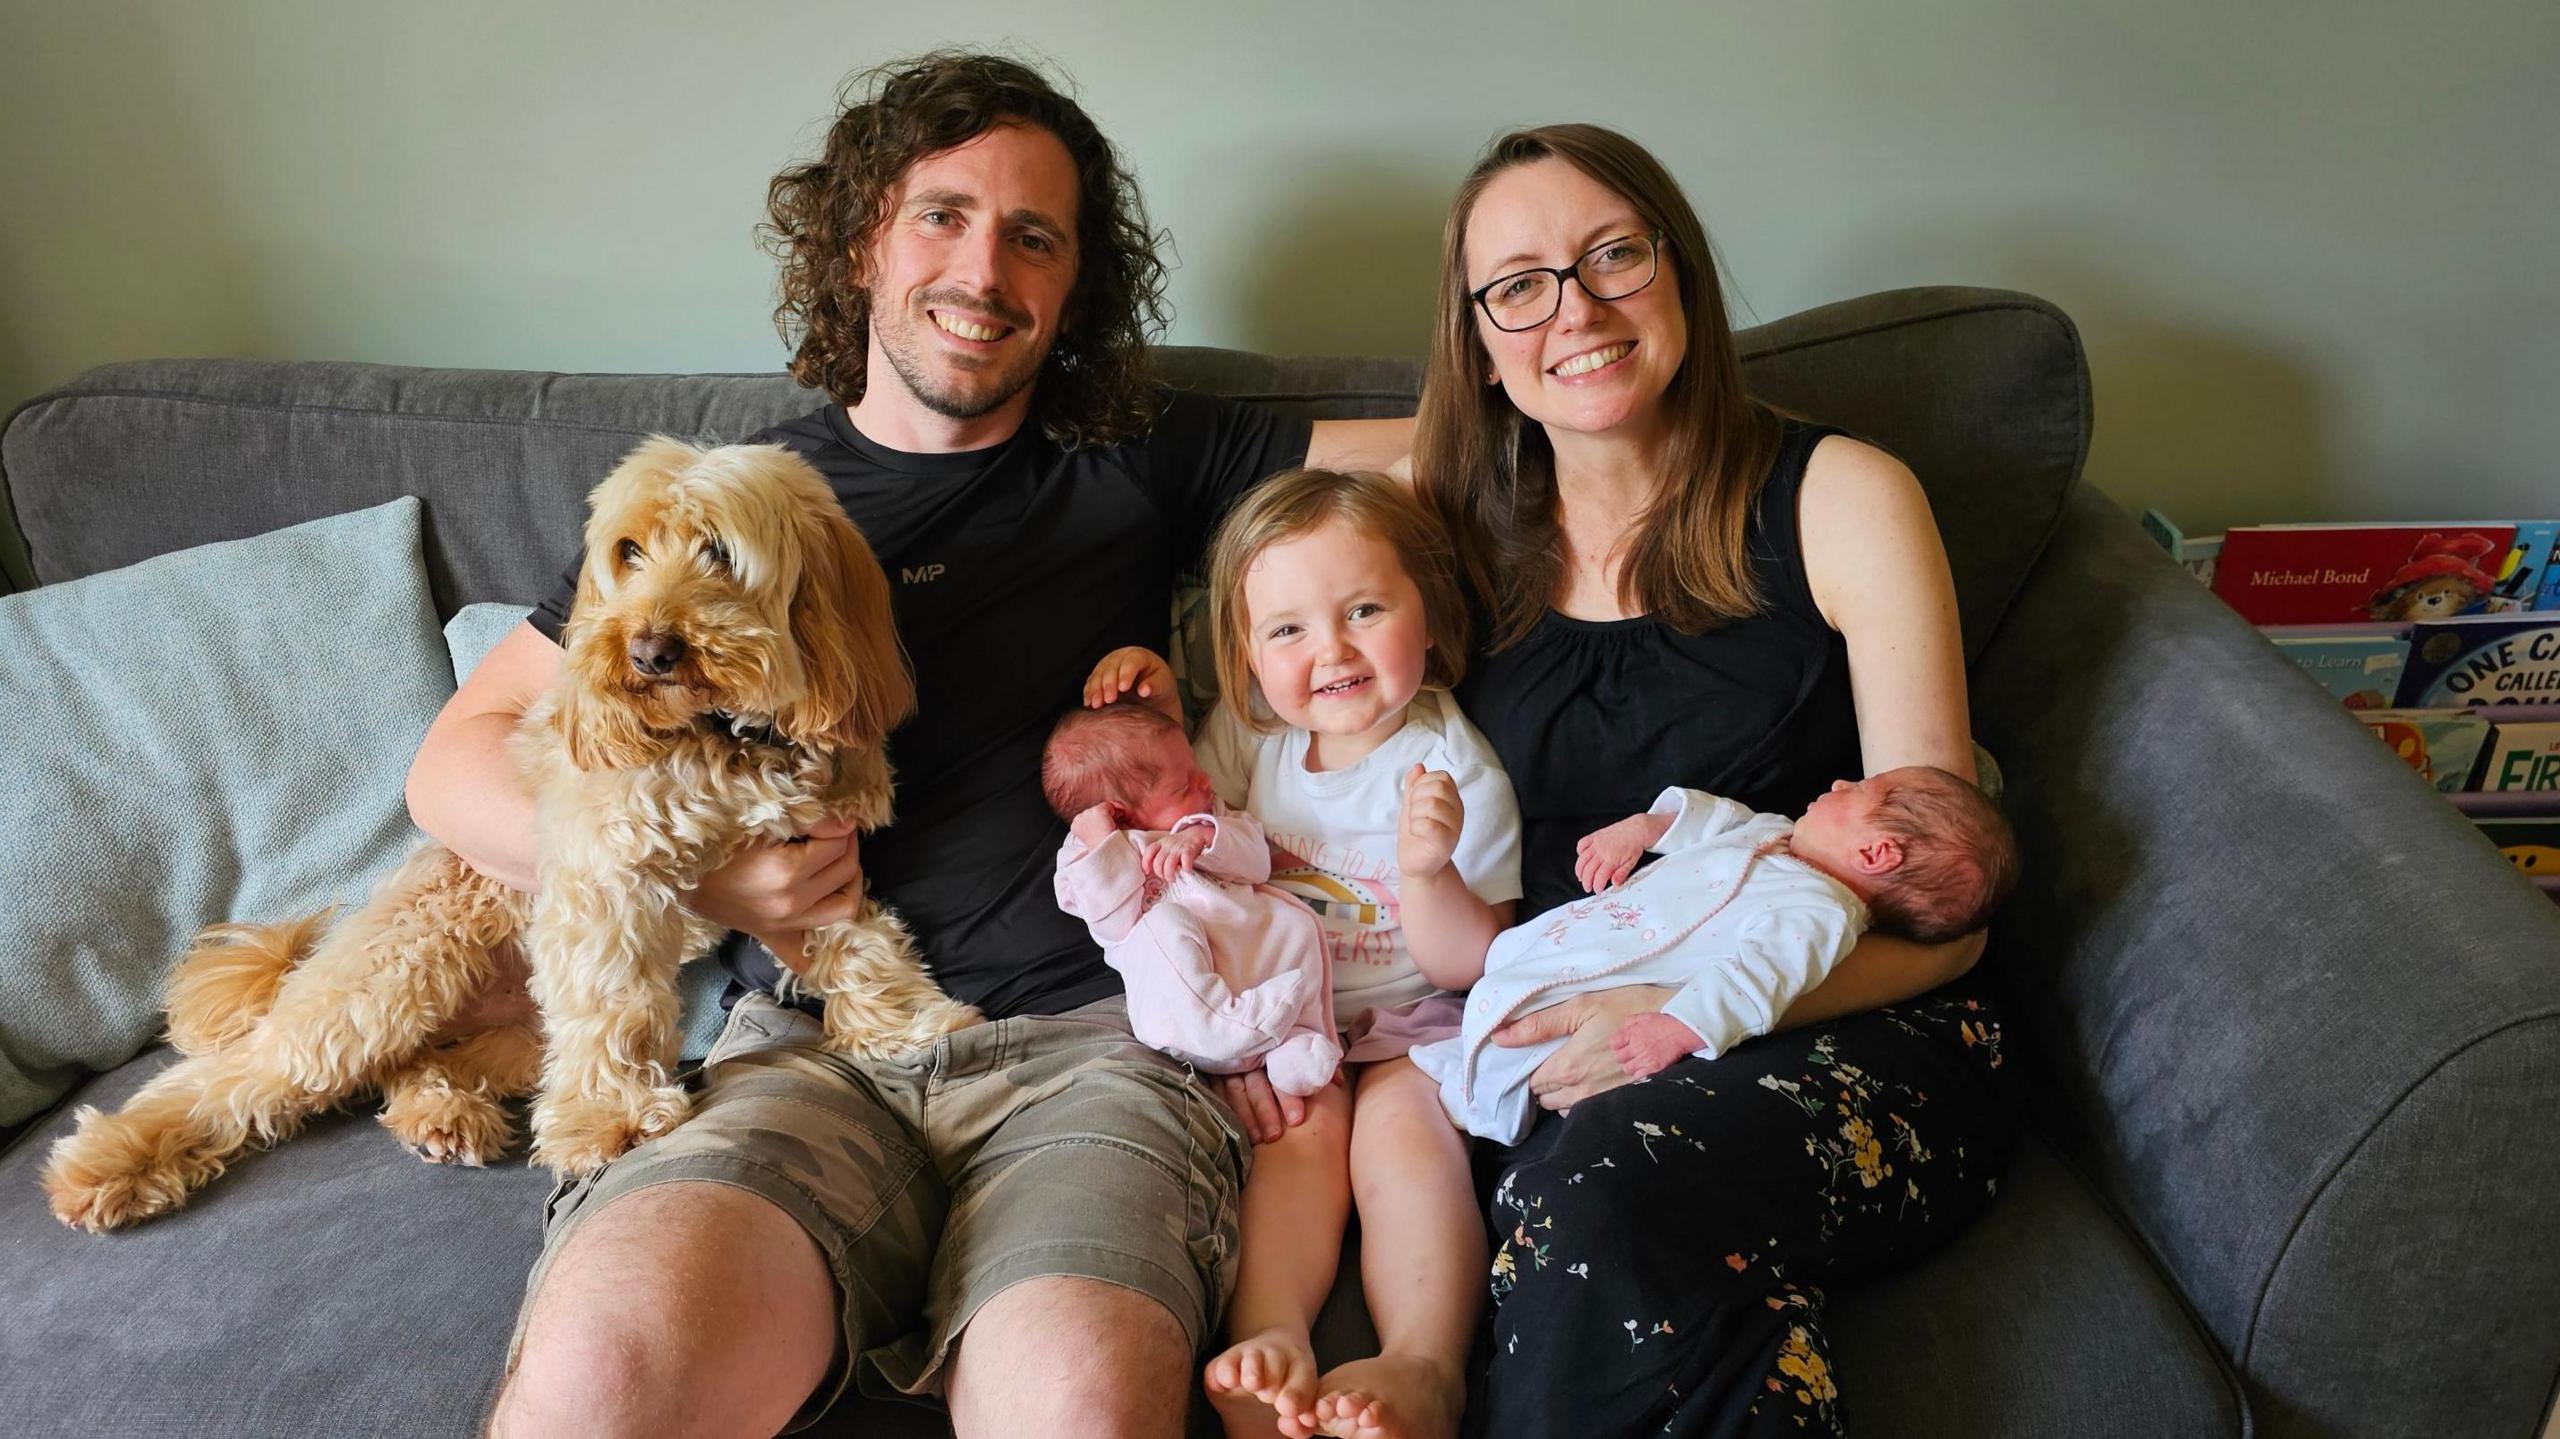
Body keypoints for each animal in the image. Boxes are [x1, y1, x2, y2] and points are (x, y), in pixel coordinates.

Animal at [40, 430, 977, 1229]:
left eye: (718, 551)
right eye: (628, 553)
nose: (648, 651)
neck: (723, 737)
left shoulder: (814, 858)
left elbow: (860, 943)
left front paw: (907, 1020)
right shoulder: (607, 871)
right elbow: (610, 1000)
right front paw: (611, 1119)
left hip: (510, 1037)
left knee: (410, 1065)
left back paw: (439, 1112)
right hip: (387, 981)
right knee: (236, 1075)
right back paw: (111, 1161)